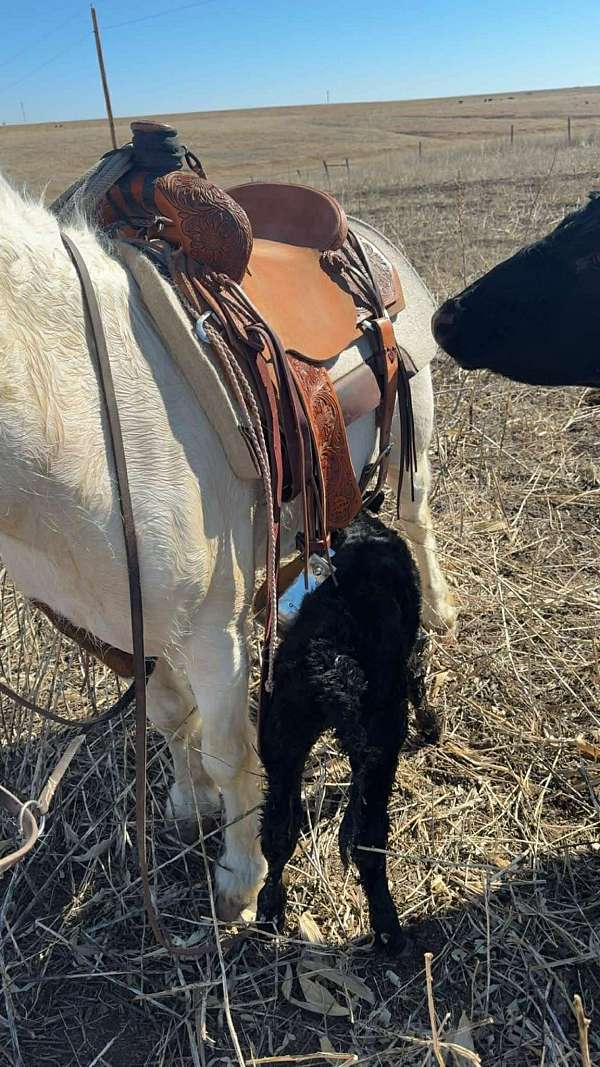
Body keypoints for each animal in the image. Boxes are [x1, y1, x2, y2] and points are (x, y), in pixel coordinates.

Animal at [0, 173, 455, 922]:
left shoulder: (213, 631)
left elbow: (225, 746)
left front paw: (240, 874)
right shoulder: (123, 631)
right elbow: (169, 719)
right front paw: (190, 802)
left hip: (413, 426)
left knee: (416, 521)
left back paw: (442, 607)